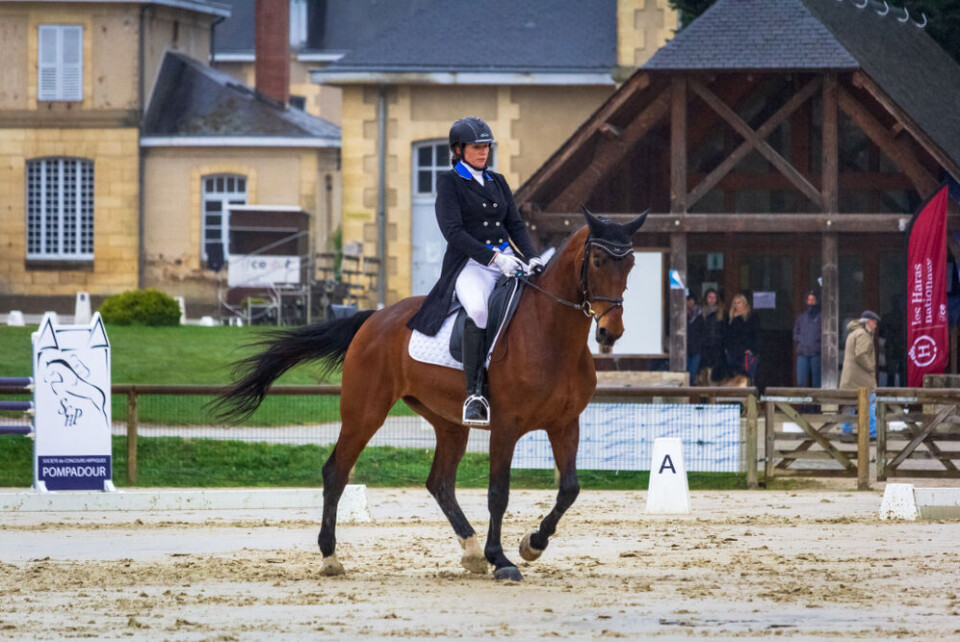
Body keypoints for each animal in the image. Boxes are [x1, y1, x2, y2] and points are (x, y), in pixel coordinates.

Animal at [217, 209, 648, 580]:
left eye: (630, 264)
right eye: (597, 262)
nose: (610, 332)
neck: (551, 332)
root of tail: (374, 317)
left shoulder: (565, 424)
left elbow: (570, 489)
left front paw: (532, 544)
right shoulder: (506, 427)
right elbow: (498, 493)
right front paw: (502, 559)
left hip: (449, 422)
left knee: (439, 482)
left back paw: (471, 551)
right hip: (365, 412)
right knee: (336, 472)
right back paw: (330, 557)